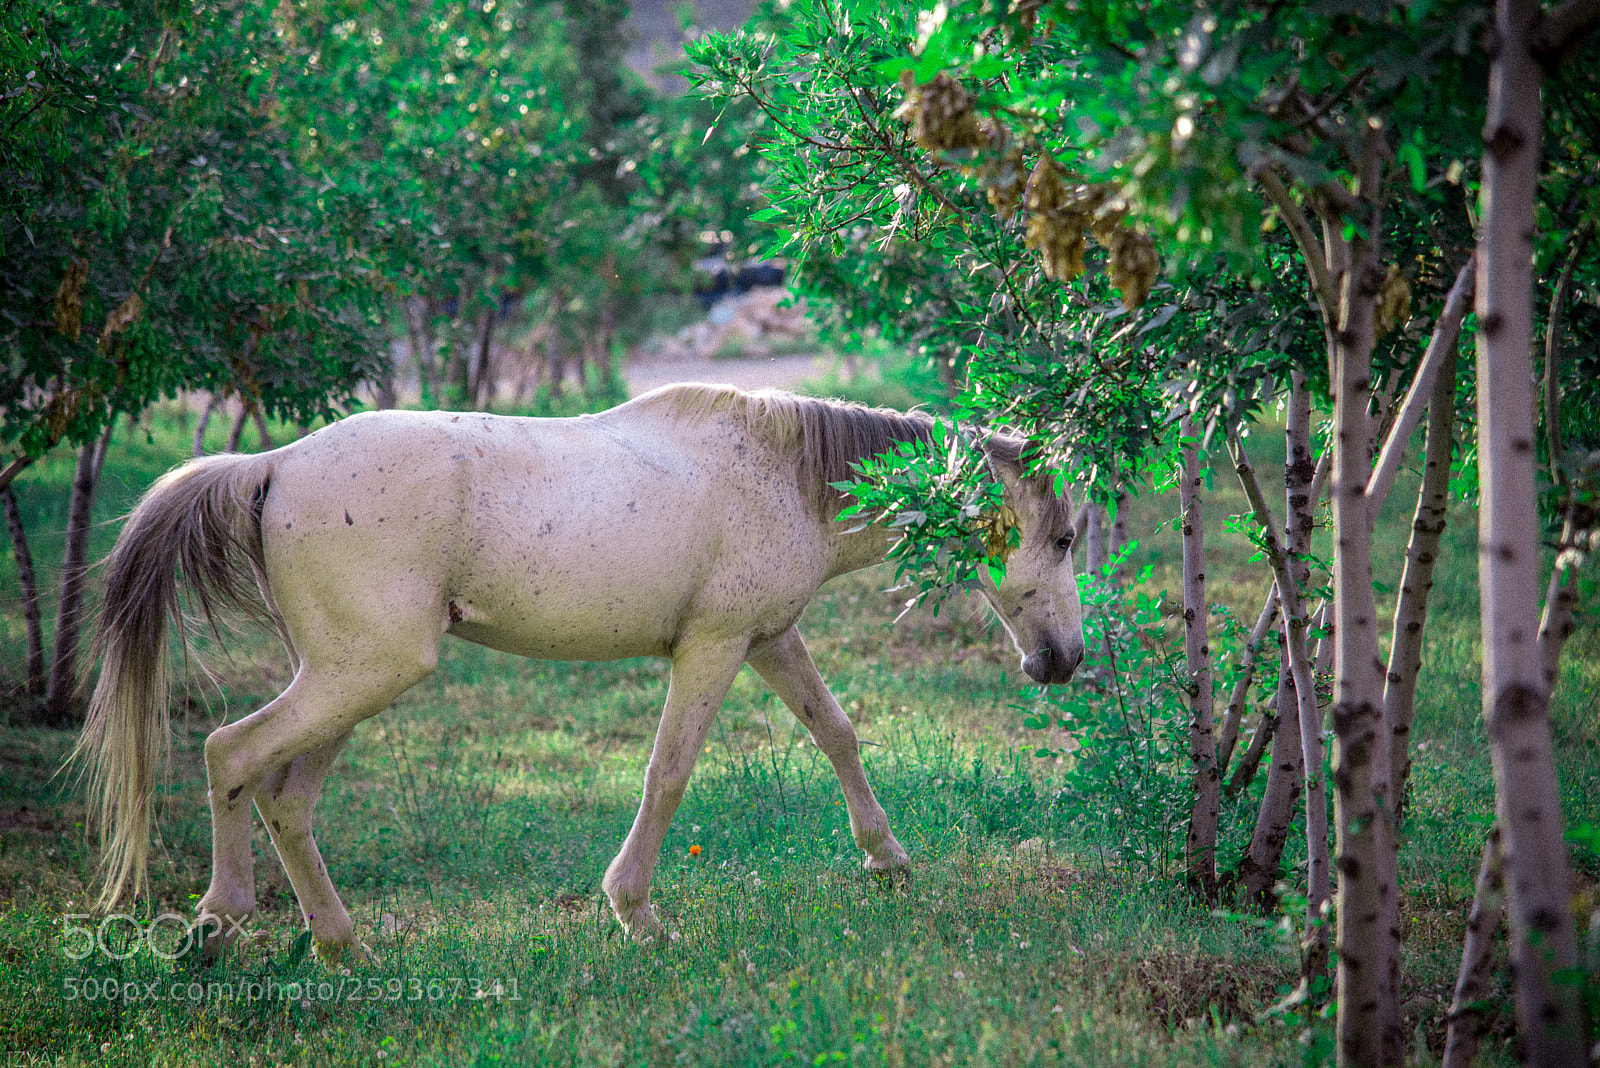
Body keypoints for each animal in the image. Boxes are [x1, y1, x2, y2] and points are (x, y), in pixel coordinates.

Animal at [75, 383, 1086, 958]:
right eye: (1067, 536)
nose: (1063, 661)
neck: (783, 471)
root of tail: (275, 464)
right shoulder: (714, 649)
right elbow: (669, 773)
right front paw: (635, 913)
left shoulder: (769, 639)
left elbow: (836, 733)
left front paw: (888, 861)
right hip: (359, 676)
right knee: (229, 754)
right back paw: (218, 922)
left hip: (346, 682)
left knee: (286, 798)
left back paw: (342, 947)